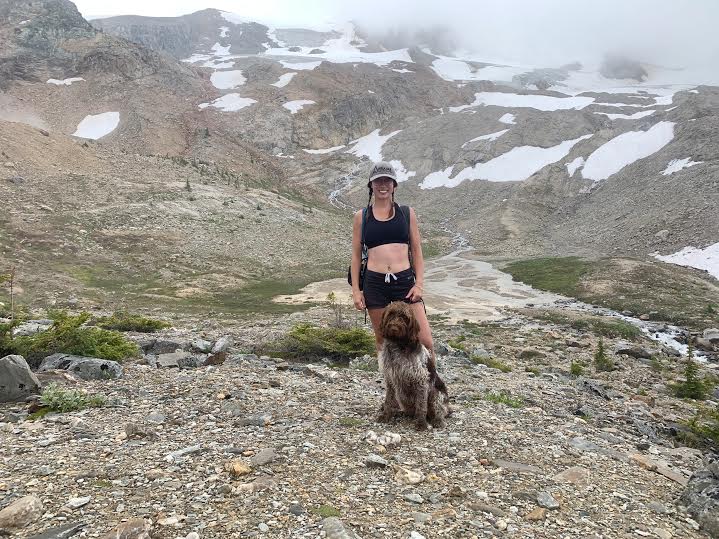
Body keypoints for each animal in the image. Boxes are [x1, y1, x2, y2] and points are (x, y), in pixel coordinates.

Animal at [376, 302, 450, 432]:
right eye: (391, 314)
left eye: (404, 317)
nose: (394, 328)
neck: (398, 345)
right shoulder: (390, 378)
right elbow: (389, 400)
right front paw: (386, 415)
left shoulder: (421, 380)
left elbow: (421, 405)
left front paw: (421, 423)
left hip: (436, 394)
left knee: (439, 411)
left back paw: (437, 421)